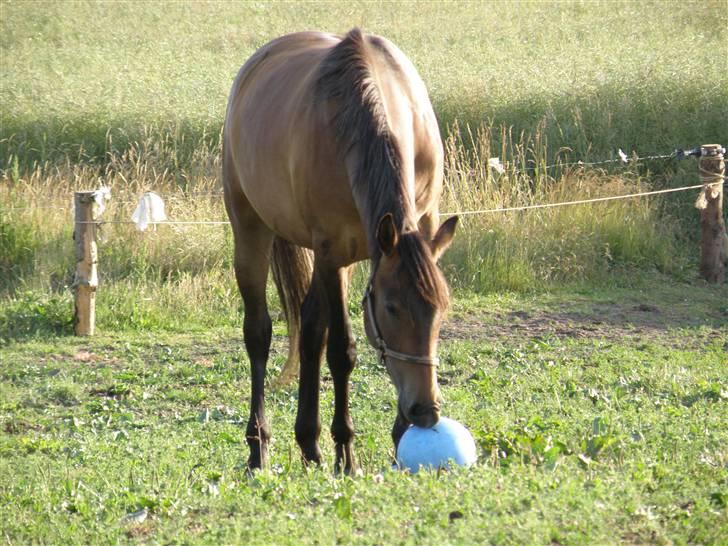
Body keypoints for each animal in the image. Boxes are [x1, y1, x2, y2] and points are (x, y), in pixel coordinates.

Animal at [225, 27, 458, 472]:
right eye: (391, 308)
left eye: (441, 307)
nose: (426, 411)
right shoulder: (332, 252)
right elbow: (342, 351)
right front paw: (347, 452)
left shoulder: (403, 233)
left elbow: (324, 338)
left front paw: (397, 437)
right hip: (251, 230)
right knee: (259, 333)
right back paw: (259, 445)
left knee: (310, 329)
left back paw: (309, 442)